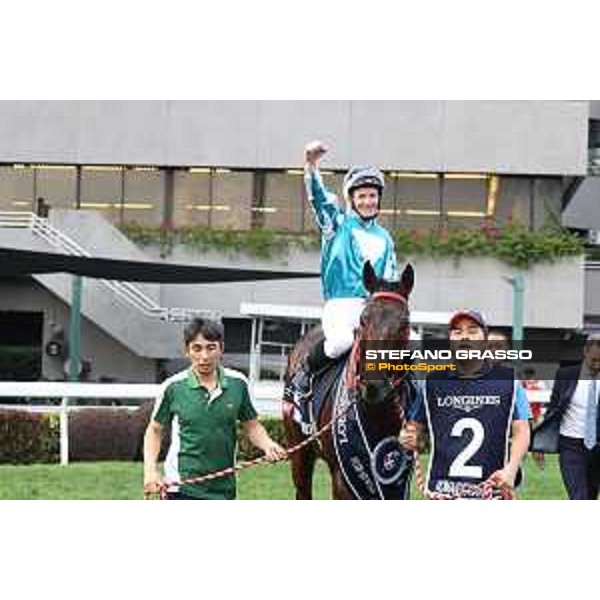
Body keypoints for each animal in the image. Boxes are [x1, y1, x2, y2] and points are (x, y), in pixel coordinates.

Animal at [282, 260, 414, 500]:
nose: (374, 385)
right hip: (299, 451)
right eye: (363, 319)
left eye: (404, 323)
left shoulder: (399, 481)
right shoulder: (342, 480)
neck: (377, 413)